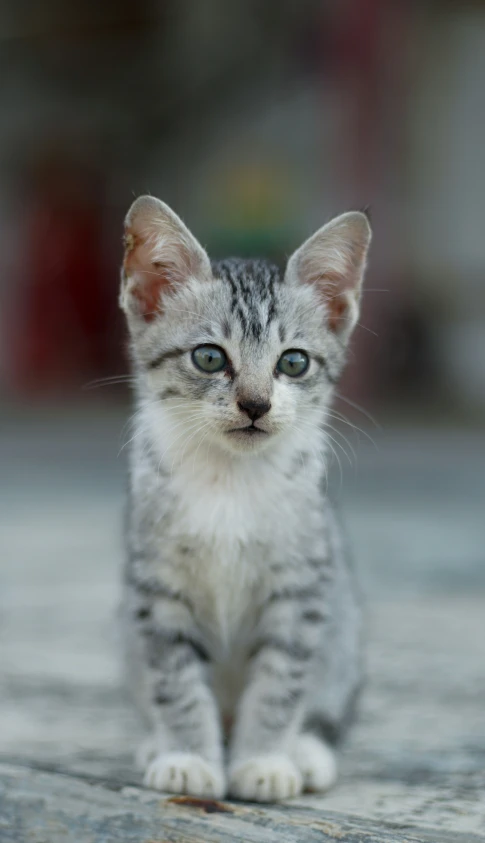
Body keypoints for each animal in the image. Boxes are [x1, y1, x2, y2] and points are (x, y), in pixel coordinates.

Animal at [117, 195, 370, 800]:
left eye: (293, 362)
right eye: (209, 358)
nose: (255, 404)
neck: (229, 480)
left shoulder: (301, 586)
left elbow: (281, 683)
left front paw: (264, 761)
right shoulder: (156, 586)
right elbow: (176, 680)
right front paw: (188, 756)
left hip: (344, 627)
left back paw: (306, 751)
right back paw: (159, 741)